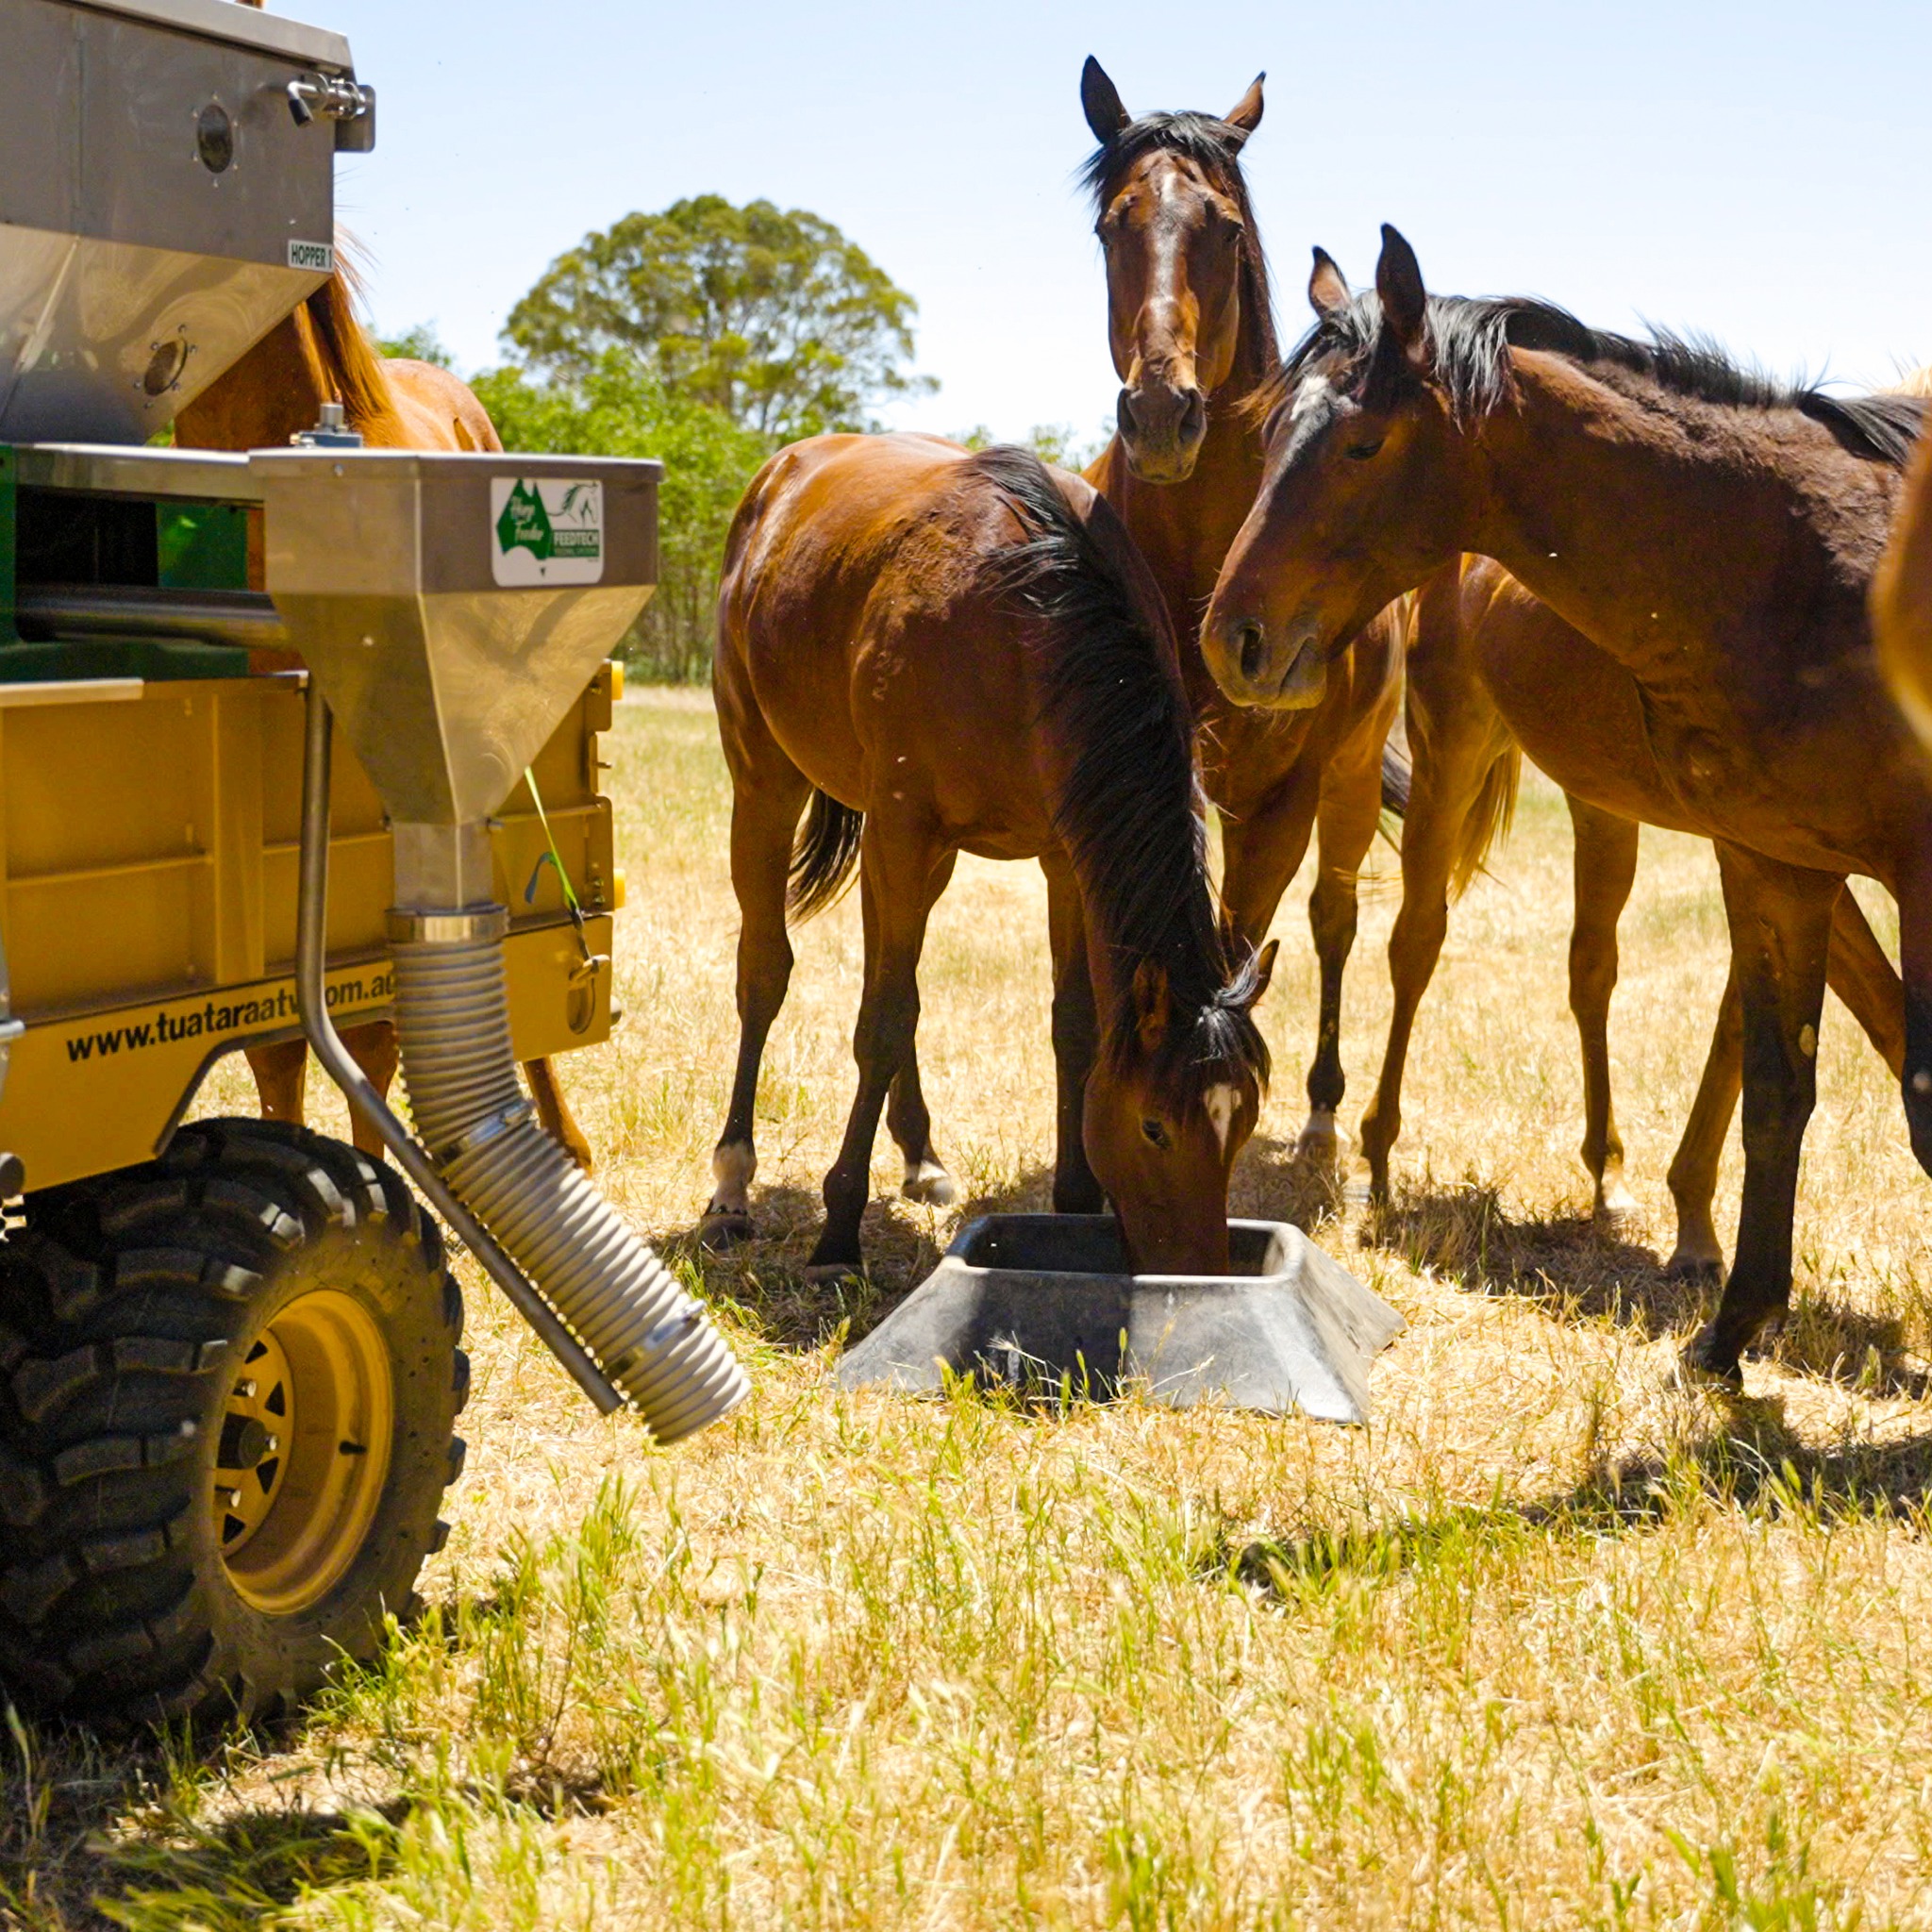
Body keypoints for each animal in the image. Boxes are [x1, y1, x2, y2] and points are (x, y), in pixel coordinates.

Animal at [705, 438, 1273, 1276]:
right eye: (1155, 1129)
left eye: (1244, 1124)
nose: (1198, 1274)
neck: (1030, 616)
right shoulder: (904, 832)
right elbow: (880, 1022)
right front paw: (839, 1232)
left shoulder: (1063, 857)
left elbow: (1070, 1024)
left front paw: (1073, 1201)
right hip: (768, 785)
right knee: (766, 972)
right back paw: (732, 1185)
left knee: (885, 974)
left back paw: (920, 1156)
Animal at [1076, 61, 1404, 1176]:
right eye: (1112, 226)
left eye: (1220, 225)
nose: (1160, 416)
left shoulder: (1286, 797)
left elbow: (1241, 939)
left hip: (1346, 783)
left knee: (1335, 919)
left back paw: (1321, 1120)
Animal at [1202, 225, 1929, 1378]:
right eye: (1270, 434)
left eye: (1362, 445)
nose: (1234, 637)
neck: (1813, 574)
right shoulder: (1780, 861)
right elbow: (1804, 1076)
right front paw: (1729, 1316)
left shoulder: (1808, 861)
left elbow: (1799, 1061)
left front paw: (1722, 1289)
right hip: (1457, 757)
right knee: (1416, 941)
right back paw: (1377, 1156)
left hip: (1600, 804)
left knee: (1590, 967)